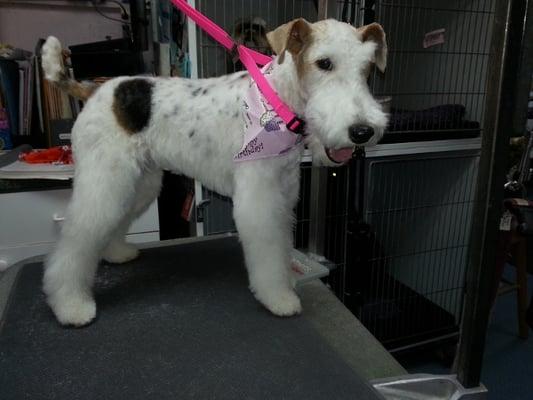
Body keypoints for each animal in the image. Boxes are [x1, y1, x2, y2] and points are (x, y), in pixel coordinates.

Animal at [40, 17, 386, 326]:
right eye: (324, 63)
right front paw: (279, 297)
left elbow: (282, 245)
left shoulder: (282, 196)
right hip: (106, 177)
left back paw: (116, 252)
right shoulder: (258, 200)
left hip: (137, 182)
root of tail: (93, 91)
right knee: (77, 238)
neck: (278, 100)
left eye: (367, 67)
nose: (362, 131)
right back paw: (70, 304)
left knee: (111, 223)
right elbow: (268, 253)